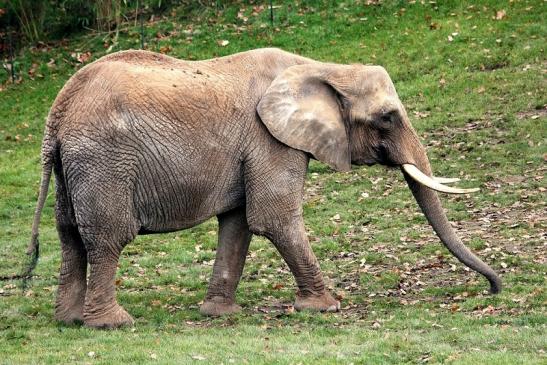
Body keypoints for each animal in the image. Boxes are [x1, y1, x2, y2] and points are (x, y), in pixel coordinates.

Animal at [28, 47, 500, 328]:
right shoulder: (271, 140)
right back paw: (112, 323)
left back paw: (68, 321)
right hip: (103, 162)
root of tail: (58, 112)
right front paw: (326, 307)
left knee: (69, 235)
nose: (495, 287)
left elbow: (238, 223)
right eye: (387, 118)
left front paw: (218, 313)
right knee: (107, 237)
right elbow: (274, 217)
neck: (319, 66)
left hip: (74, 168)